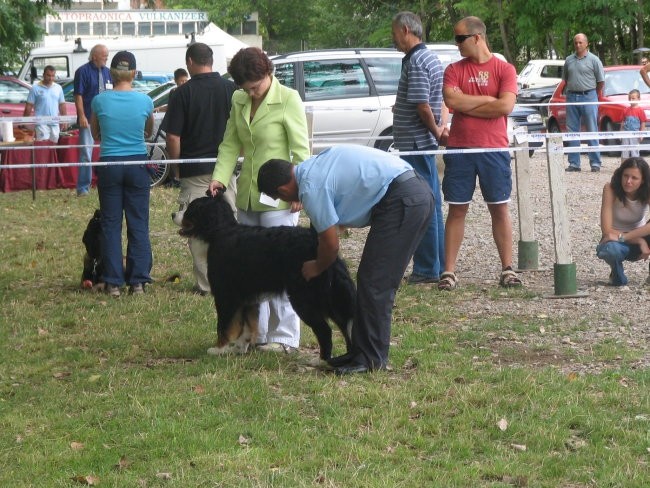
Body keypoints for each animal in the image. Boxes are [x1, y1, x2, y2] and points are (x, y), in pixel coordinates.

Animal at [178, 193, 354, 360]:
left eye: (189, 209)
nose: (174, 214)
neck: (219, 231)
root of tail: (318, 244)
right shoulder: (248, 298)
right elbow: (247, 327)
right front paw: (238, 349)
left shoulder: (225, 295)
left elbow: (224, 325)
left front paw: (219, 349)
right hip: (331, 298)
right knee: (346, 327)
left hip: (305, 298)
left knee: (325, 331)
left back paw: (322, 361)